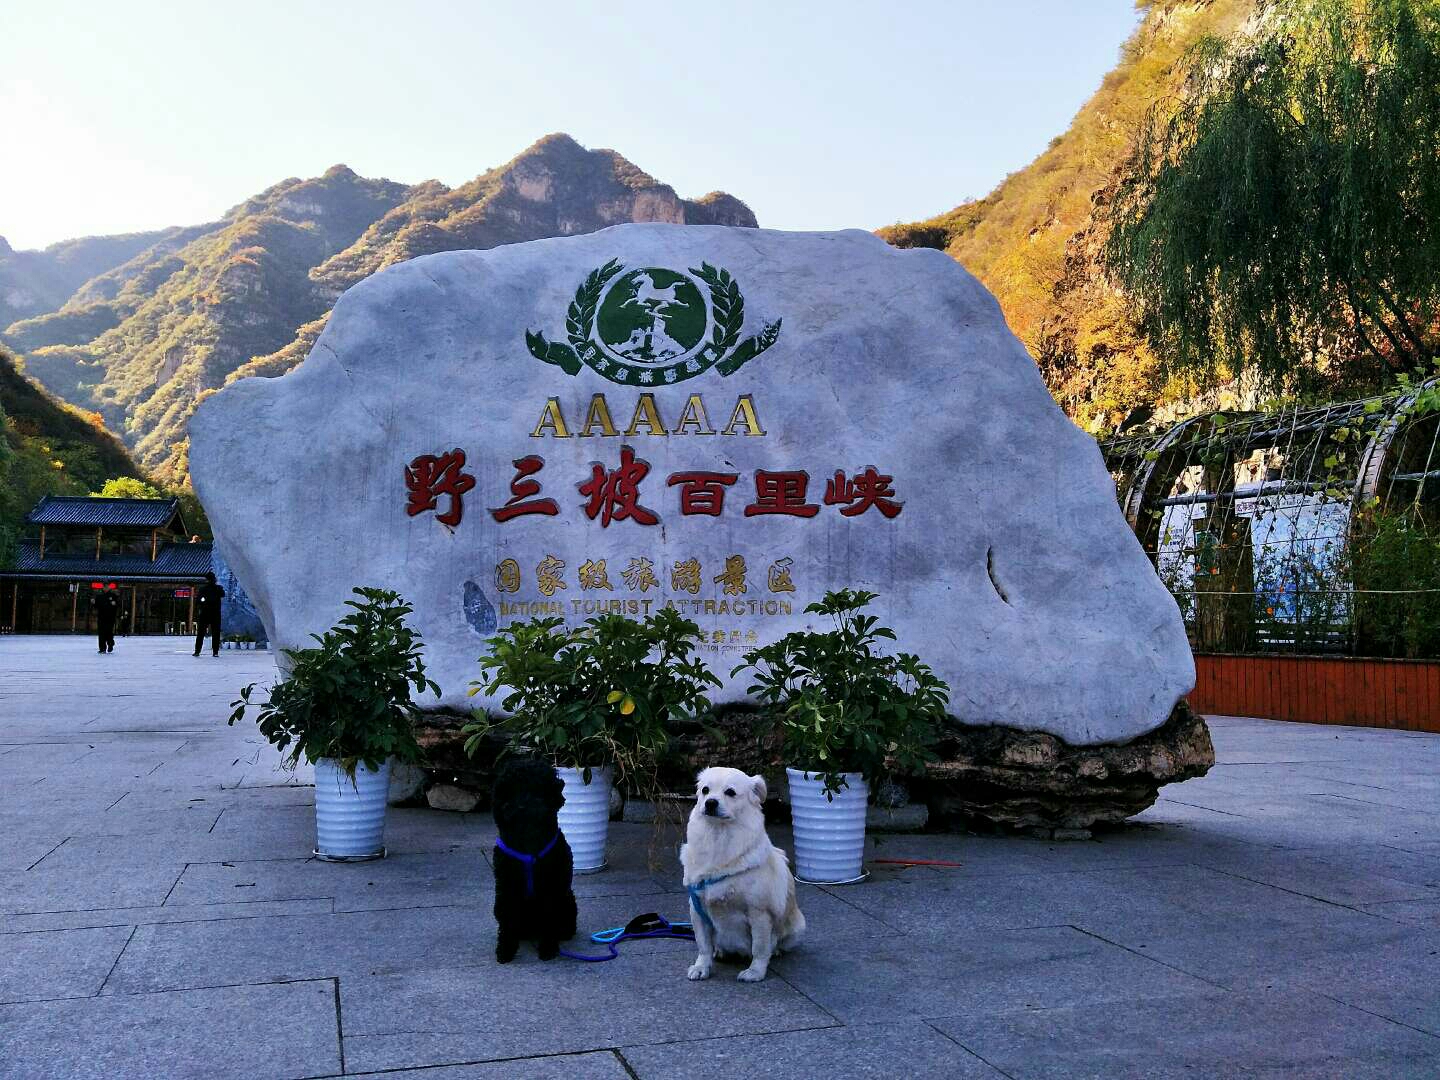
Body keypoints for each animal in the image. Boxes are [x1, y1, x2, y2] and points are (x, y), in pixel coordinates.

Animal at [492, 760, 576, 961]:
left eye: (536, 787)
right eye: (511, 790)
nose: (521, 806)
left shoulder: (552, 888)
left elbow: (550, 918)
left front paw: (548, 948)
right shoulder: (506, 886)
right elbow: (507, 919)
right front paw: (505, 949)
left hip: (568, 901)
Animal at [679, 766, 806, 984]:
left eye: (730, 792)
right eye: (705, 790)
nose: (710, 802)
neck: (718, 838)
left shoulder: (760, 914)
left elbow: (760, 948)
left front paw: (755, 972)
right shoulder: (697, 910)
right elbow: (703, 945)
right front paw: (702, 967)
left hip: (797, 927)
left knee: (777, 942)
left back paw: (776, 951)